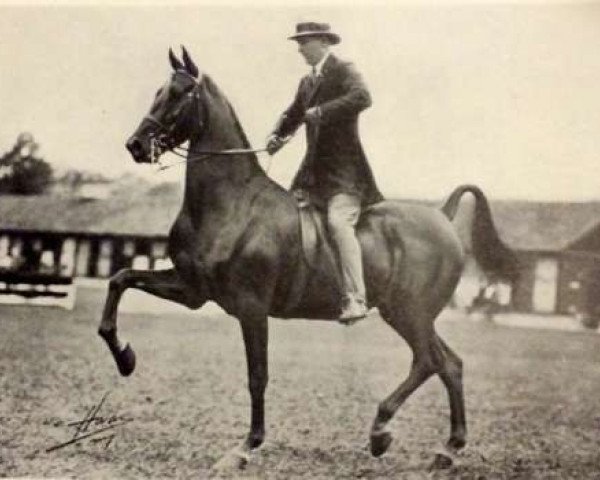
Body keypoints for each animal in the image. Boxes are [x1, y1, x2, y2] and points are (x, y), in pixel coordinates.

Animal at [96, 46, 516, 468]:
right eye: (158, 91)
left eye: (180, 93)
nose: (135, 144)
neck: (231, 204)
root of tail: (443, 216)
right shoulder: (193, 290)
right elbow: (120, 279)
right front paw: (125, 358)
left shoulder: (251, 307)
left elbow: (258, 376)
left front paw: (246, 446)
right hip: (411, 315)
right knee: (450, 363)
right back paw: (447, 448)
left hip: (409, 312)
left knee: (430, 361)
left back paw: (382, 431)